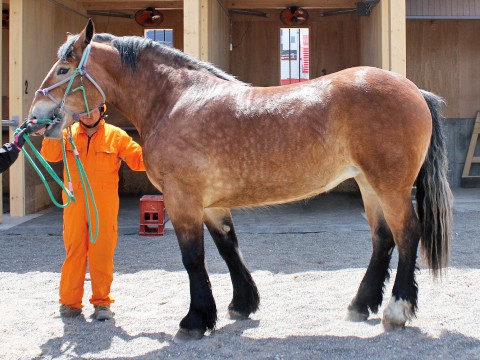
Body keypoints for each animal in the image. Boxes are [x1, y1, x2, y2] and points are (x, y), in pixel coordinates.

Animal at [29, 20, 450, 344]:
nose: (37, 116)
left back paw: (396, 310)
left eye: (63, 70)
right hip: (368, 184)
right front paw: (241, 305)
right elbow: (228, 248)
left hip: (390, 187)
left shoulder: (183, 200)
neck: (175, 101)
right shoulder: (211, 204)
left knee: (407, 235)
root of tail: (415, 90)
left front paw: (194, 321)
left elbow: (194, 258)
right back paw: (361, 305)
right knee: (383, 239)